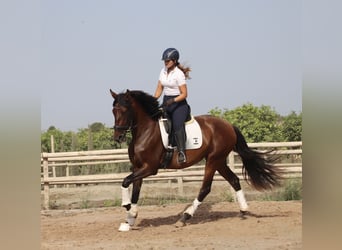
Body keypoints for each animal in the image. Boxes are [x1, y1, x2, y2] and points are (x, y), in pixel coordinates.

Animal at [109, 89, 280, 231]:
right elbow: (135, 192)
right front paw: (130, 219)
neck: (145, 131)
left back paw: (185, 217)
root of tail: (228, 125)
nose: (118, 137)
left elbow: (125, 182)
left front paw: (128, 208)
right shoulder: (138, 168)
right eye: (113, 111)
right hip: (219, 161)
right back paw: (243, 210)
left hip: (213, 160)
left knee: (205, 189)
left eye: (124, 110)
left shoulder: (150, 168)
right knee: (234, 180)